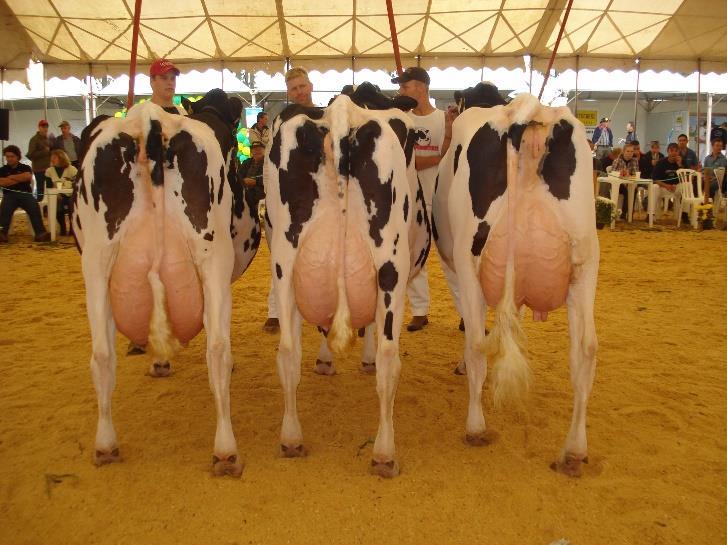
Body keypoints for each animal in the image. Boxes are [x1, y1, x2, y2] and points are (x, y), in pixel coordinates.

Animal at [264, 94, 430, 476]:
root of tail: (341, 111)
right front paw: (361, 357)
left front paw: (326, 360)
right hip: (391, 264)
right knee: (389, 358)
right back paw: (384, 453)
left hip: (284, 262)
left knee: (287, 351)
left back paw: (291, 438)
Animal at [436, 91, 600, 474]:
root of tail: (532, 112)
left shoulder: (454, 268)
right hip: (586, 261)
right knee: (585, 349)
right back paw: (574, 450)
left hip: (468, 258)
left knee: (476, 344)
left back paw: (476, 427)